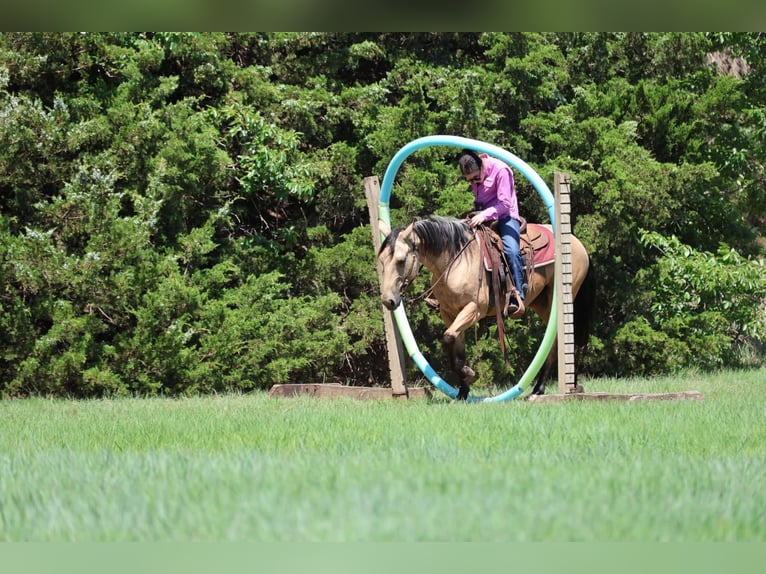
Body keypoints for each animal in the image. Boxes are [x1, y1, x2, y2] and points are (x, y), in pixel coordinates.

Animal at [377, 215, 595, 400]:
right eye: (381, 261)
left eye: (401, 261)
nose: (388, 300)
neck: (455, 260)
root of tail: (576, 242)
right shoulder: (449, 313)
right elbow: (454, 345)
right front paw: (463, 391)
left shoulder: (474, 309)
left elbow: (448, 338)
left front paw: (469, 374)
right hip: (541, 303)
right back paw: (548, 387)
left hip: (558, 298)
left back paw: (539, 389)